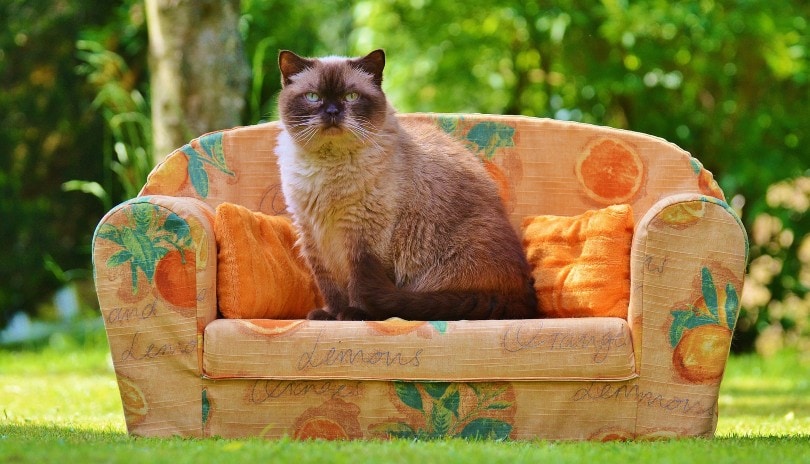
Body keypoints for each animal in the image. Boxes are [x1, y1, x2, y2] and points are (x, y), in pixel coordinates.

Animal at [274, 49, 536, 320]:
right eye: (313, 97)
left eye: (351, 96)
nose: (333, 112)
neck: (328, 168)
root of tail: (523, 299)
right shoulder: (312, 234)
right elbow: (329, 285)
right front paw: (330, 316)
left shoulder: (364, 238)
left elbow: (359, 281)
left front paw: (354, 315)